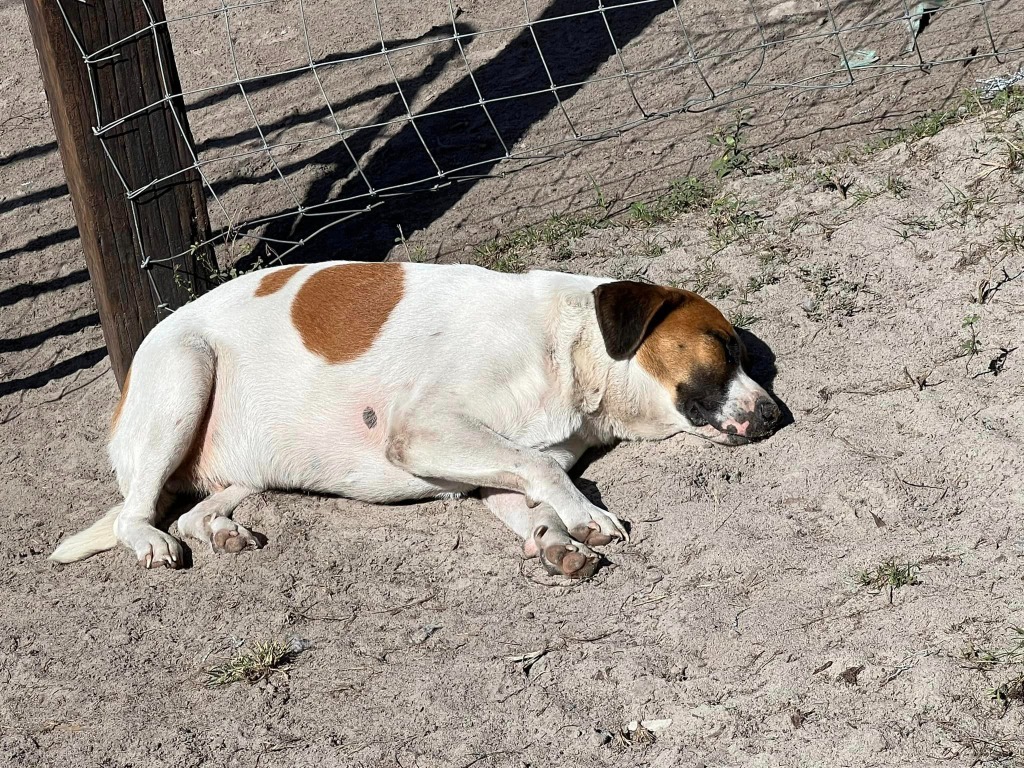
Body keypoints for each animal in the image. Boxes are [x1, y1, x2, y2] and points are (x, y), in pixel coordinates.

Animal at [51, 264, 778, 577]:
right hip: (185, 376)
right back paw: (150, 542)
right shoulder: (424, 432)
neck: (569, 348)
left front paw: (555, 540)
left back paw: (221, 532)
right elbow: (543, 470)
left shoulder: (487, 469)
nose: (775, 414)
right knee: (136, 516)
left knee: (191, 511)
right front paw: (588, 519)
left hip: (245, 471)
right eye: (723, 345)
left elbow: (533, 496)